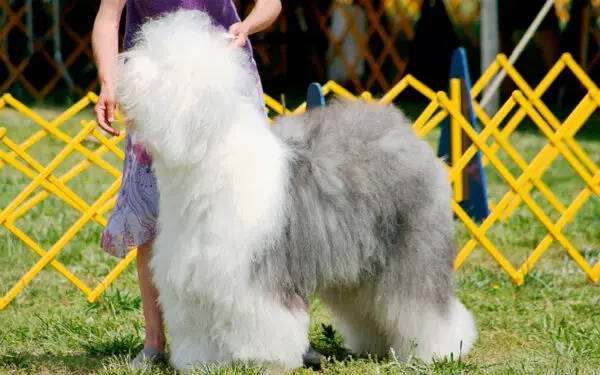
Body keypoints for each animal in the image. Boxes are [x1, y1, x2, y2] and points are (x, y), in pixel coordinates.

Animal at [115, 8, 476, 374]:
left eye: (164, 67)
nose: (123, 63)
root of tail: (407, 135)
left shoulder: (255, 280)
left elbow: (264, 326)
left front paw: (264, 362)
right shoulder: (194, 281)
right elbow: (195, 328)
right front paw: (198, 362)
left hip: (411, 252)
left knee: (425, 306)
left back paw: (442, 349)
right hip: (359, 267)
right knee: (369, 306)